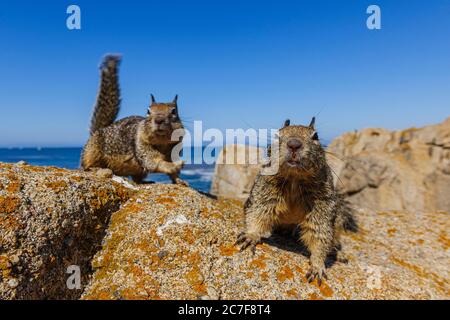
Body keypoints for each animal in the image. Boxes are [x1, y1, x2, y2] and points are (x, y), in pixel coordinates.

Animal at [81, 55, 186, 185]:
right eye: (148, 111)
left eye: (174, 111)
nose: (159, 120)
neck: (162, 143)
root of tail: (98, 130)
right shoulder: (140, 144)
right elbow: (153, 161)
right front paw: (174, 166)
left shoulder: (174, 148)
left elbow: (172, 173)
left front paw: (179, 180)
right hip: (92, 150)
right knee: (88, 165)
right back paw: (98, 169)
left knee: (137, 178)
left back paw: (145, 181)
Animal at [237, 117, 356, 284]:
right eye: (277, 135)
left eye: (315, 136)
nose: (294, 144)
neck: (294, 177)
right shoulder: (264, 190)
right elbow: (258, 212)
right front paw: (251, 235)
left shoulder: (322, 204)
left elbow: (320, 232)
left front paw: (317, 265)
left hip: (337, 221)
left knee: (334, 239)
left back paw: (338, 253)